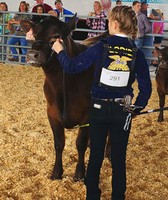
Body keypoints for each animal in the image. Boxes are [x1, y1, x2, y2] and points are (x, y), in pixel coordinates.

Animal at [20, 14, 109, 180]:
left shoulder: (87, 114)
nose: (31, 55)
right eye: (34, 35)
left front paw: (79, 173)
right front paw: (56, 172)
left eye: (56, 36)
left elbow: (80, 144)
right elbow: (59, 144)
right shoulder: (52, 113)